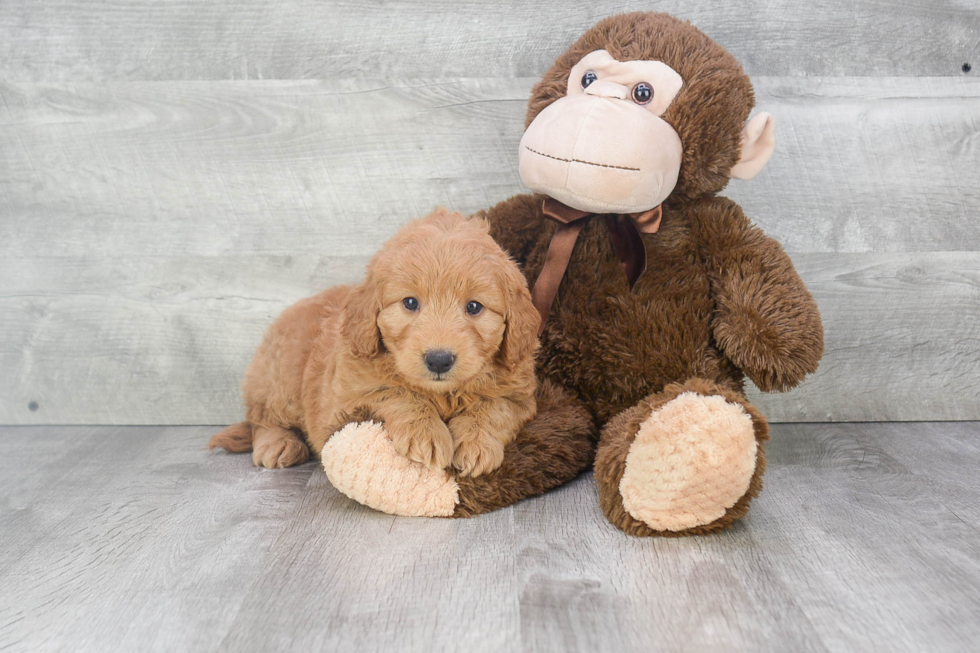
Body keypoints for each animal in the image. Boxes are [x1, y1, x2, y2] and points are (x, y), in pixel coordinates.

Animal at [210, 211, 540, 476]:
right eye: (410, 303)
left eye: (474, 307)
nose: (439, 360)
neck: (442, 393)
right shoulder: (343, 403)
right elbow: (395, 392)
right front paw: (427, 434)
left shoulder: (519, 396)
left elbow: (494, 407)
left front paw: (476, 443)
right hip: (279, 376)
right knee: (261, 419)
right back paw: (278, 444)